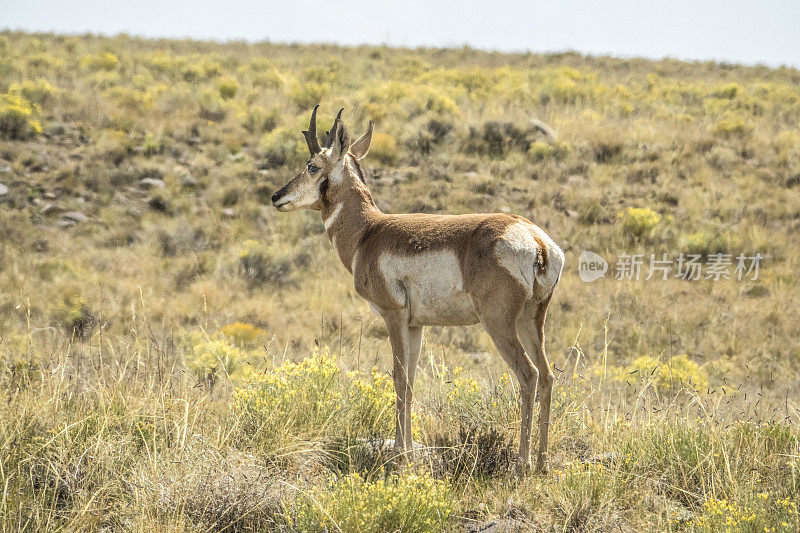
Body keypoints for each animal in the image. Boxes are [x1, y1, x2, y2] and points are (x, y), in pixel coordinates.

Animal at [272, 106, 564, 472]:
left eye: (312, 165)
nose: (276, 196)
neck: (369, 232)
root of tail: (534, 239)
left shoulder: (393, 316)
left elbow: (398, 378)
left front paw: (400, 454)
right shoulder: (416, 325)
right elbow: (411, 381)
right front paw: (408, 450)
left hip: (499, 323)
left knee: (528, 375)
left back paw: (522, 463)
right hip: (531, 320)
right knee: (548, 376)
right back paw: (542, 463)